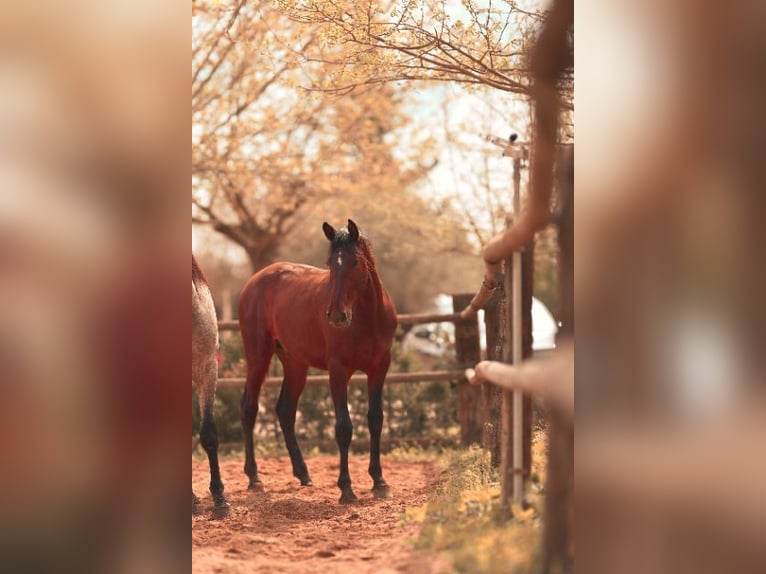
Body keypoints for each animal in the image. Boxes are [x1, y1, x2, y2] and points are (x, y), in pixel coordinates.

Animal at [238, 219, 398, 503]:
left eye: (355, 262)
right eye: (330, 262)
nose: (336, 315)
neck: (368, 318)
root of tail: (255, 280)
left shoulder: (379, 369)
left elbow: (376, 420)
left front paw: (379, 482)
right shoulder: (338, 371)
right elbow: (344, 427)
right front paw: (346, 488)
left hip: (294, 364)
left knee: (285, 411)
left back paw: (303, 474)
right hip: (258, 356)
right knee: (249, 407)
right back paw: (255, 477)